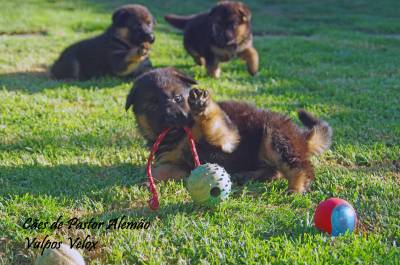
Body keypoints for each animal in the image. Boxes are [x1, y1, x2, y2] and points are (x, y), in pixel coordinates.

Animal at [125, 67, 332, 192]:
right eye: (153, 105)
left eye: (177, 98)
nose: (172, 116)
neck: (179, 137)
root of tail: (301, 137)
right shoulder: (175, 163)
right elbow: (160, 171)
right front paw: (148, 182)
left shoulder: (228, 136)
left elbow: (212, 122)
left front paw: (202, 105)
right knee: (275, 171)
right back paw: (247, 175)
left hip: (275, 137)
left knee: (299, 166)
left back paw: (296, 187)